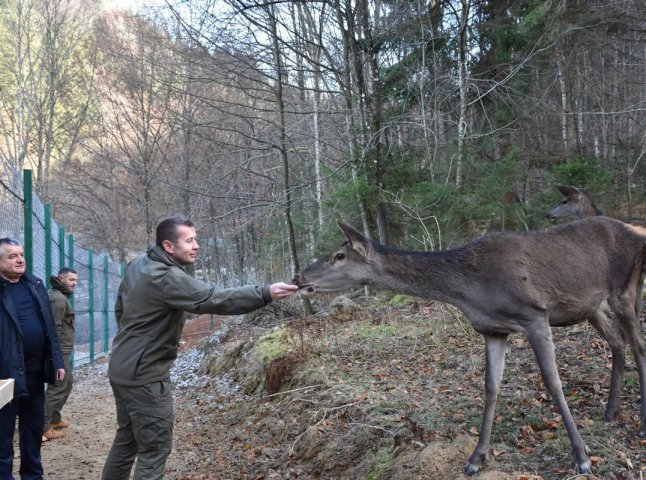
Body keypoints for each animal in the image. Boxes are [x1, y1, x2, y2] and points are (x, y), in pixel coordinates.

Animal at [296, 218, 646, 476]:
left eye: (338, 256)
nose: (300, 277)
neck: (469, 290)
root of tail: (636, 232)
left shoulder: (535, 315)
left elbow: (553, 383)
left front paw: (582, 457)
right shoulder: (493, 330)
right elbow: (491, 387)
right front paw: (476, 458)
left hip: (624, 289)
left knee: (638, 345)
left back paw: (639, 421)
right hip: (591, 306)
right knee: (618, 342)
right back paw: (610, 411)